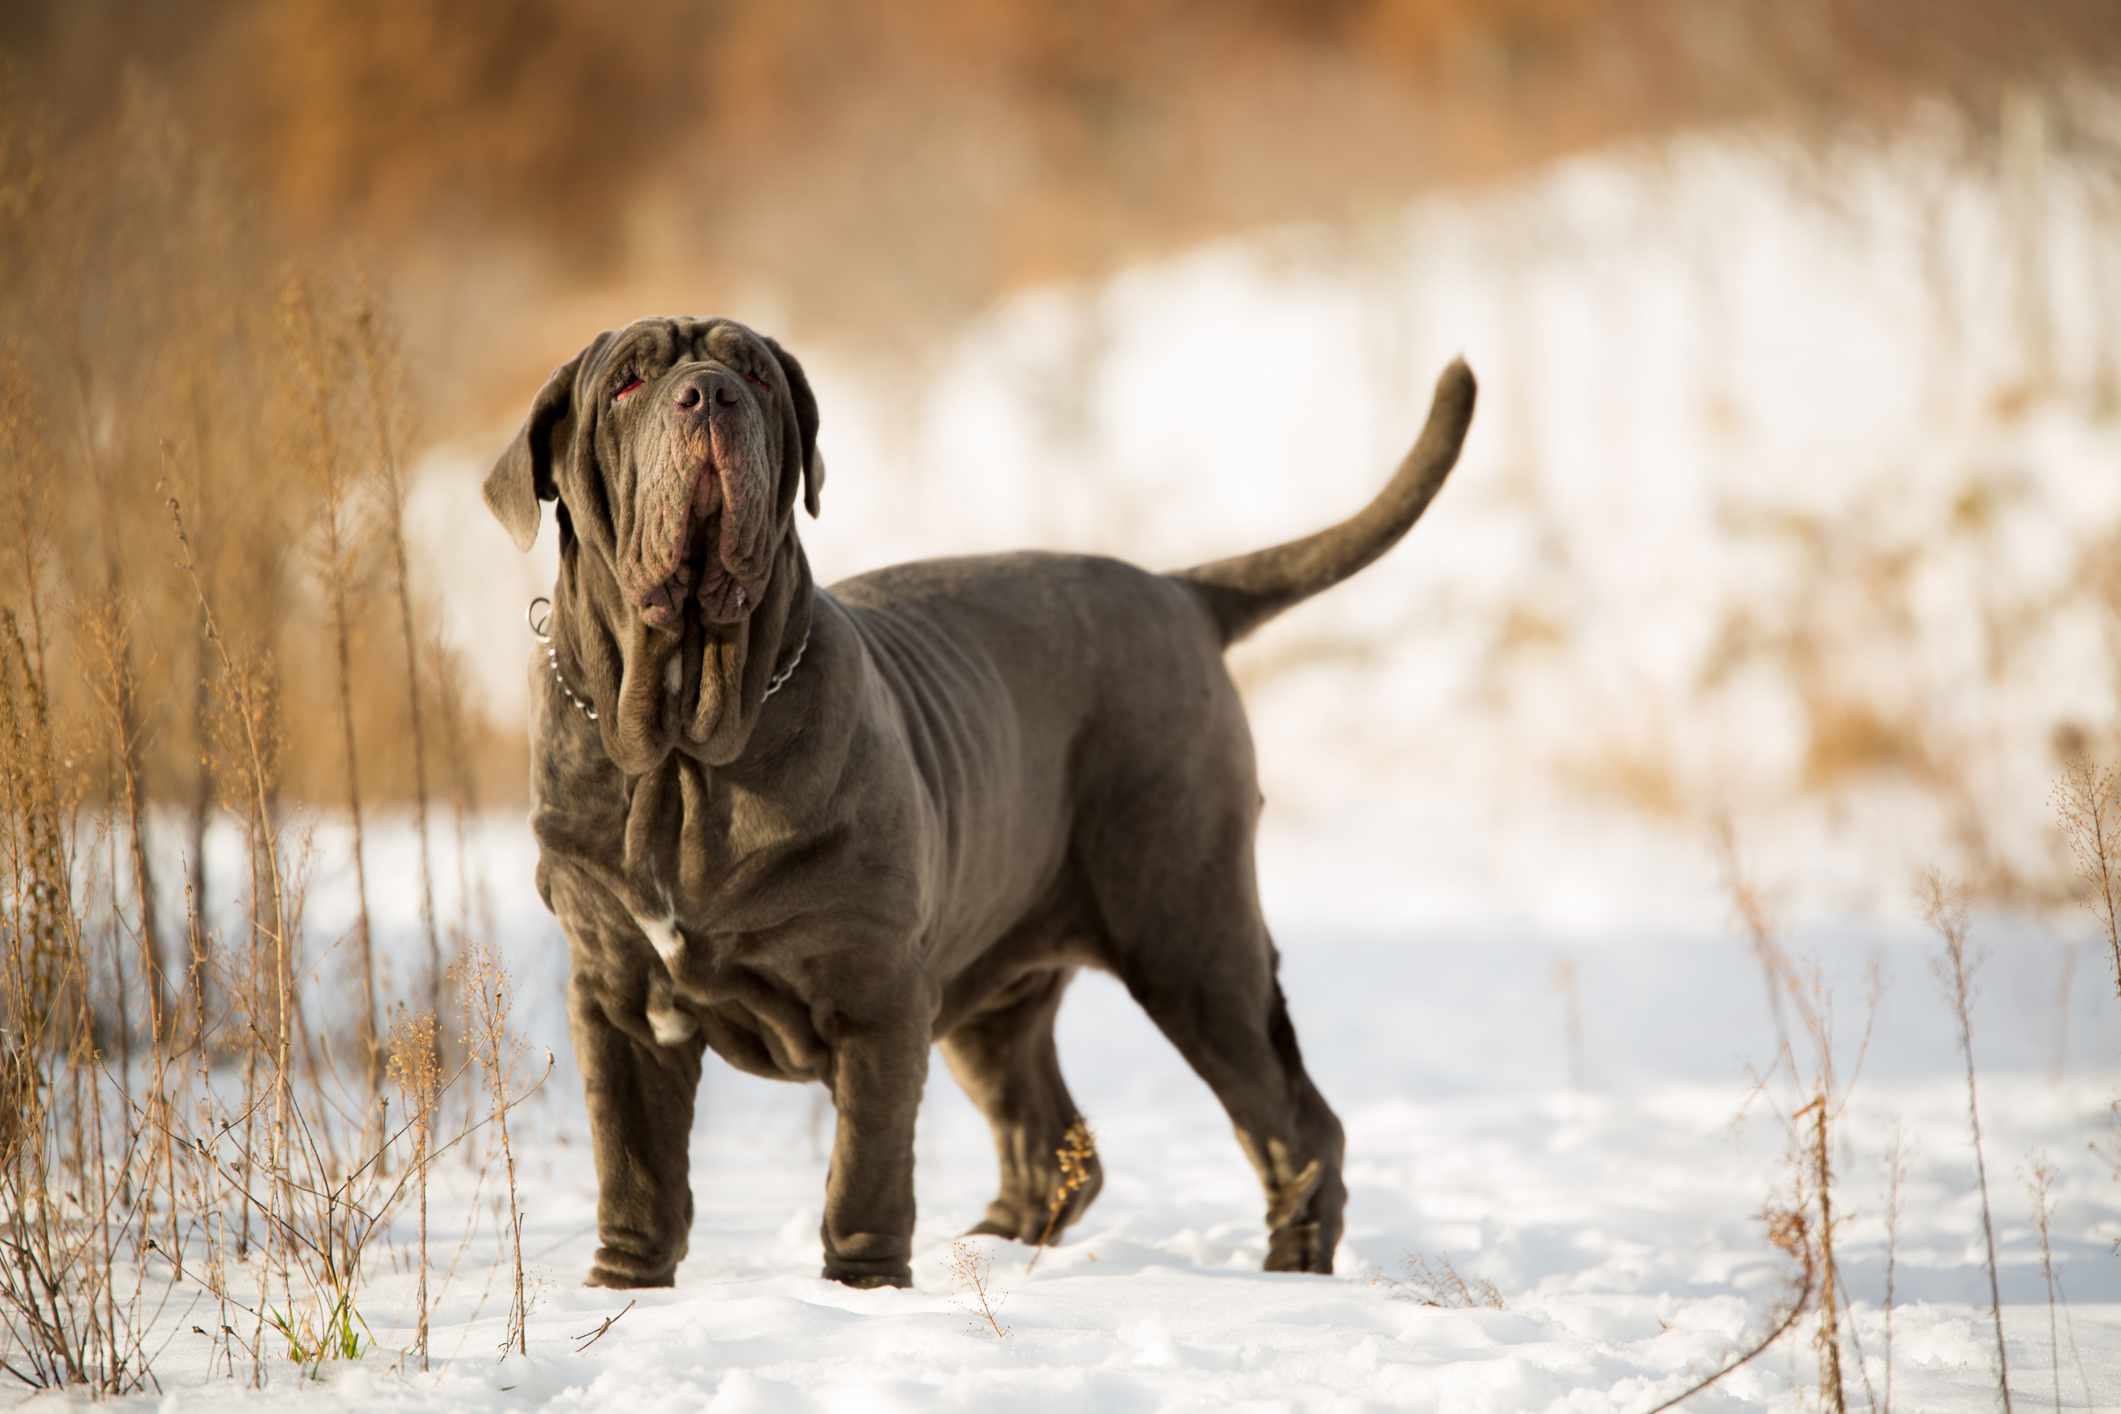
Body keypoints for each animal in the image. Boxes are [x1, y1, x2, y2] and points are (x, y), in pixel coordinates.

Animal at [485, 320, 1476, 1297]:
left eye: (756, 376)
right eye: (627, 383)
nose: (710, 394)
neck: (684, 753)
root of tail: (1180, 591)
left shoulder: (877, 999)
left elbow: (865, 1167)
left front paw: (860, 1290)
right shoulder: (615, 997)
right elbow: (633, 1164)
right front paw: (623, 1288)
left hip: (1191, 938)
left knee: (1292, 1123)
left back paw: (1289, 1274)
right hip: (998, 993)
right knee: (1051, 1140)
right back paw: (990, 1250)